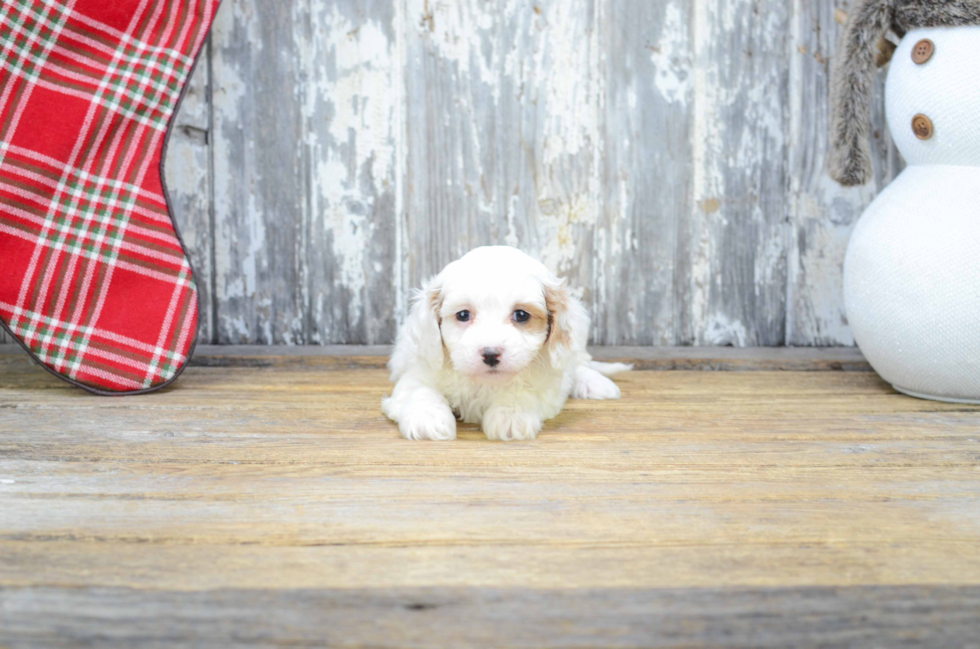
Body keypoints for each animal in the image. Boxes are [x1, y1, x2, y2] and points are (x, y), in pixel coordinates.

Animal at [378, 244, 632, 440]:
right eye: (463, 315)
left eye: (521, 315)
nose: (491, 353)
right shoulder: (418, 370)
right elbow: (420, 390)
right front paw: (428, 420)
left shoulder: (547, 385)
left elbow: (523, 392)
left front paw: (510, 417)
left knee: (578, 365)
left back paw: (596, 383)